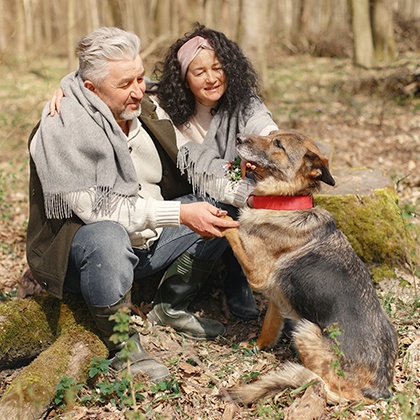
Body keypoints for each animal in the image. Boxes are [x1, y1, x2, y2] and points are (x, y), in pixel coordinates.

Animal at [221, 130, 398, 406]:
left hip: (306, 330)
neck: (286, 204)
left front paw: (213, 218)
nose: (238, 137)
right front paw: (257, 347)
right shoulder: (277, 300)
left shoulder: (256, 274)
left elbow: (230, 227)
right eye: (271, 134)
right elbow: (267, 331)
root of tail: (378, 390)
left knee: (329, 388)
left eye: (278, 144)